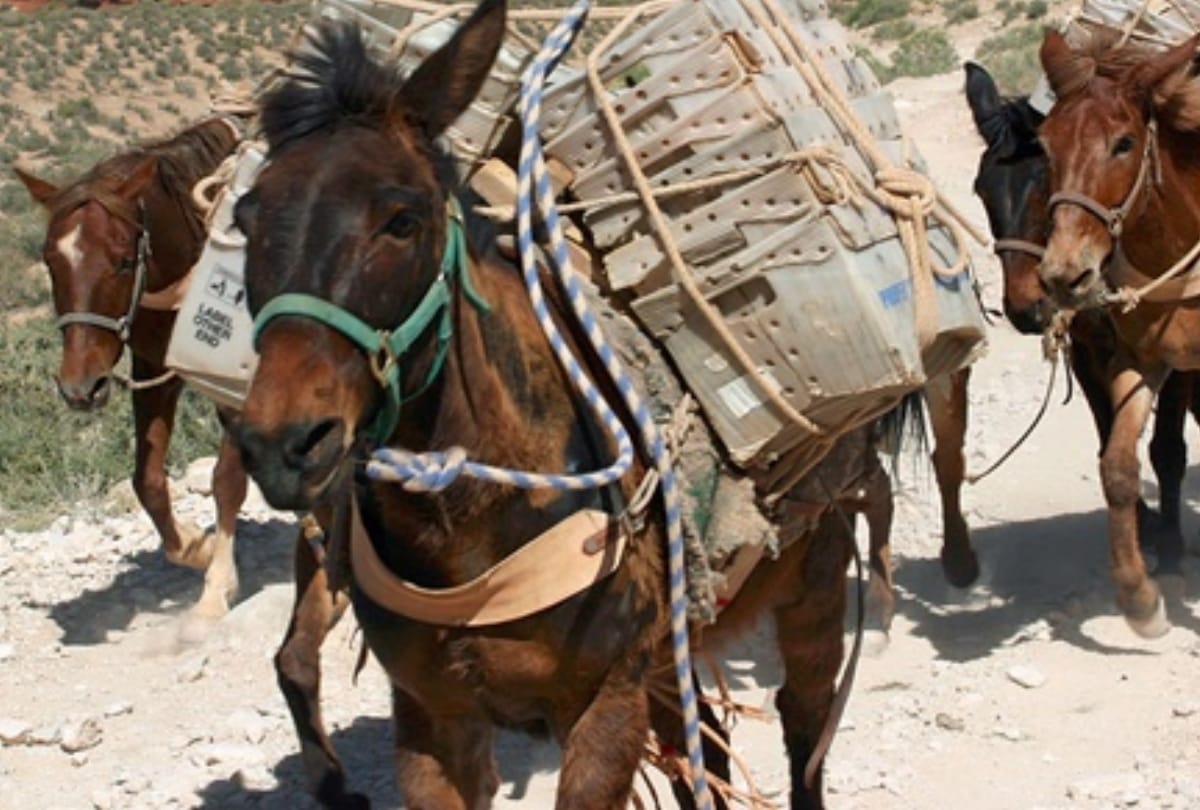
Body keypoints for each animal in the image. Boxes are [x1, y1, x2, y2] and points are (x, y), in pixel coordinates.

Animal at [15, 121, 361, 805]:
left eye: (122, 259)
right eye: (49, 260)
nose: (79, 388)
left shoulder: (237, 387)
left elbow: (226, 481)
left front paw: (211, 591)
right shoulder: (156, 369)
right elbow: (147, 480)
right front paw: (195, 550)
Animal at [228, 2, 926, 805]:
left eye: (401, 220)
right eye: (244, 220)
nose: (283, 446)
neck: (468, 523)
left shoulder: (604, 705)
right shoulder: (433, 718)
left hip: (812, 586)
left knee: (803, 723)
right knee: (706, 754)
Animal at [964, 59, 1200, 560]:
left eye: (1043, 181)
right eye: (981, 189)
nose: (1025, 308)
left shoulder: (1174, 351)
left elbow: (1168, 448)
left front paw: (1169, 543)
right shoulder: (1088, 350)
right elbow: (1108, 438)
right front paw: (1141, 526)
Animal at [1034, 30, 1200, 637]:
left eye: (1124, 143)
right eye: (1044, 146)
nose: (1065, 275)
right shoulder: (1141, 360)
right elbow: (1119, 466)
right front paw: (1139, 599)